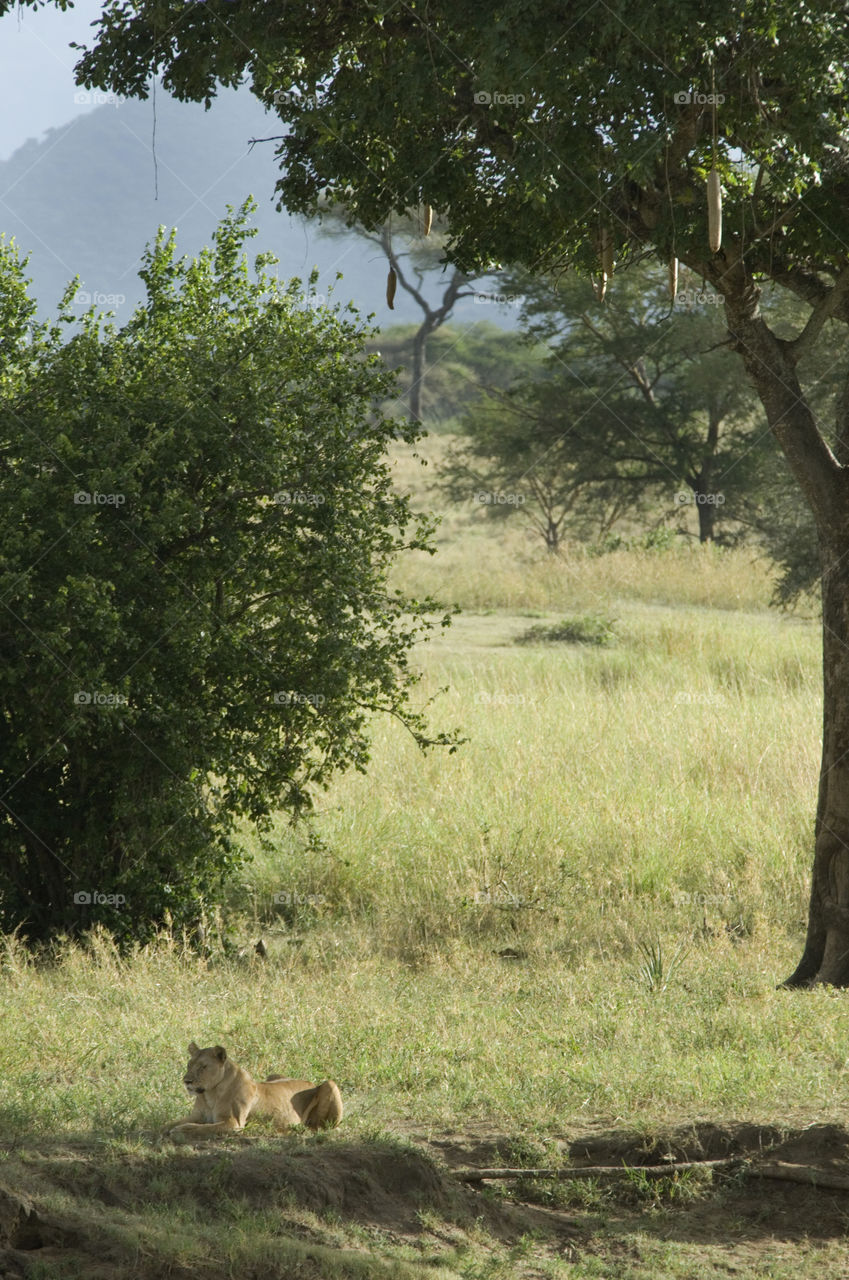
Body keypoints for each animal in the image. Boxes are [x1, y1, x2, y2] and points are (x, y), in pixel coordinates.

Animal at [162, 1042, 343, 1141]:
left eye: (203, 1067)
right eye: (189, 1065)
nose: (187, 1081)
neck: (209, 1094)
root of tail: (310, 1082)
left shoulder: (234, 1123)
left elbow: (201, 1128)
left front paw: (181, 1130)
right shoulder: (197, 1115)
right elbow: (169, 1123)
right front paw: (164, 1128)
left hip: (330, 1084)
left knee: (326, 1126)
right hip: (274, 1074)